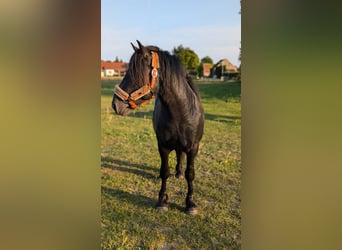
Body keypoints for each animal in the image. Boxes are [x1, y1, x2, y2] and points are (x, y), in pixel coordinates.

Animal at [112, 41, 204, 215]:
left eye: (136, 73)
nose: (115, 104)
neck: (181, 113)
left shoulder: (193, 147)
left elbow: (190, 174)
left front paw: (190, 203)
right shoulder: (163, 146)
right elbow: (164, 172)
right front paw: (162, 201)